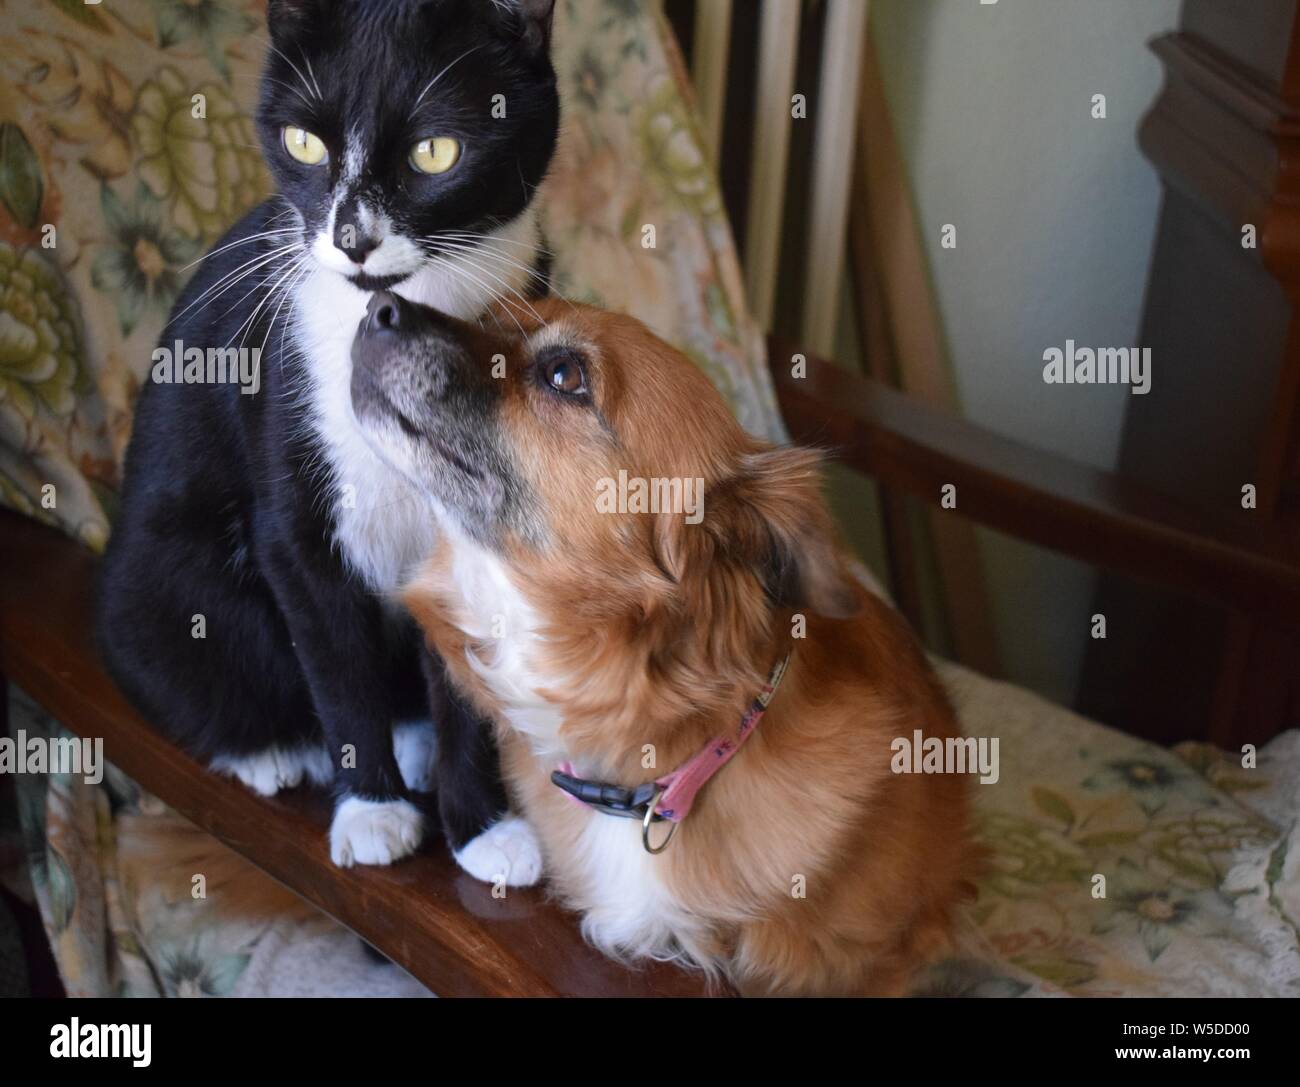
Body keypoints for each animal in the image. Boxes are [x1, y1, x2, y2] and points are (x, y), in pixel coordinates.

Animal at [94, 0, 553, 884]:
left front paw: (483, 828)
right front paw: (371, 809)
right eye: (305, 143)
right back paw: (269, 751)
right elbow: (335, 660)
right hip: (162, 581)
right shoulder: (291, 489)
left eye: (433, 152)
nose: (353, 240)